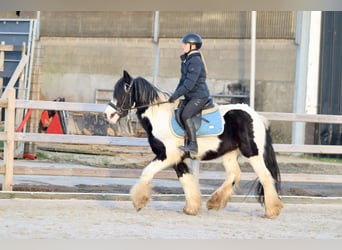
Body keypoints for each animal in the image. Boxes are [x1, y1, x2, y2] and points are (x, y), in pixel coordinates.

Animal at [104, 70, 284, 219]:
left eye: (124, 90)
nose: (108, 115)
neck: (160, 117)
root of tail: (257, 116)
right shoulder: (178, 158)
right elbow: (187, 180)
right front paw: (191, 208)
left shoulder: (167, 155)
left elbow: (147, 172)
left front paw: (138, 201)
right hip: (229, 154)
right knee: (234, 175)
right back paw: (214, 202)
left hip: (252, 153)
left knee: (266, 176)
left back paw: (272, 211)